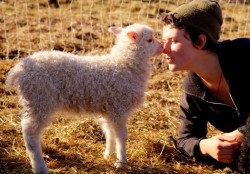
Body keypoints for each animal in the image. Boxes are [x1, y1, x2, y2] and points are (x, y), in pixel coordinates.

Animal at [5, 23, 163, 174]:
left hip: (35, 102)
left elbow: (109, 132)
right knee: (30, 133)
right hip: (39, 100)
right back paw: (40, 166)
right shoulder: (119, 108)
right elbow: (121, 137)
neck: (124, 65)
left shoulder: (109, 109)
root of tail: (19, 69)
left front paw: (109, 155)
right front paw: (122, 162)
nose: (162, 47)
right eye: (150, 40)